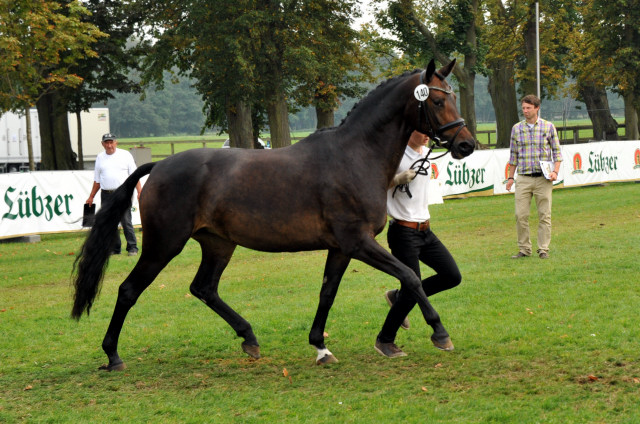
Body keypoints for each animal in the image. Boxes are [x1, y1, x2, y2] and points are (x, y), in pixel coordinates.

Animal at [72, 58, 478, 370]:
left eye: (452, 97)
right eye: (437, 100)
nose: (466, 144)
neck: (354, 156)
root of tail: (159, 165)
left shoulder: (341, 248)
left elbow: (327, 292)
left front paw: (321, 347)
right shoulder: (358, 242)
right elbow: (409, 276)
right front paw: (440, 332)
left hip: (218, 244)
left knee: (204, 288)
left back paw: (249, 338)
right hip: (164, 244)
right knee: (129, 290)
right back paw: (112, 356)